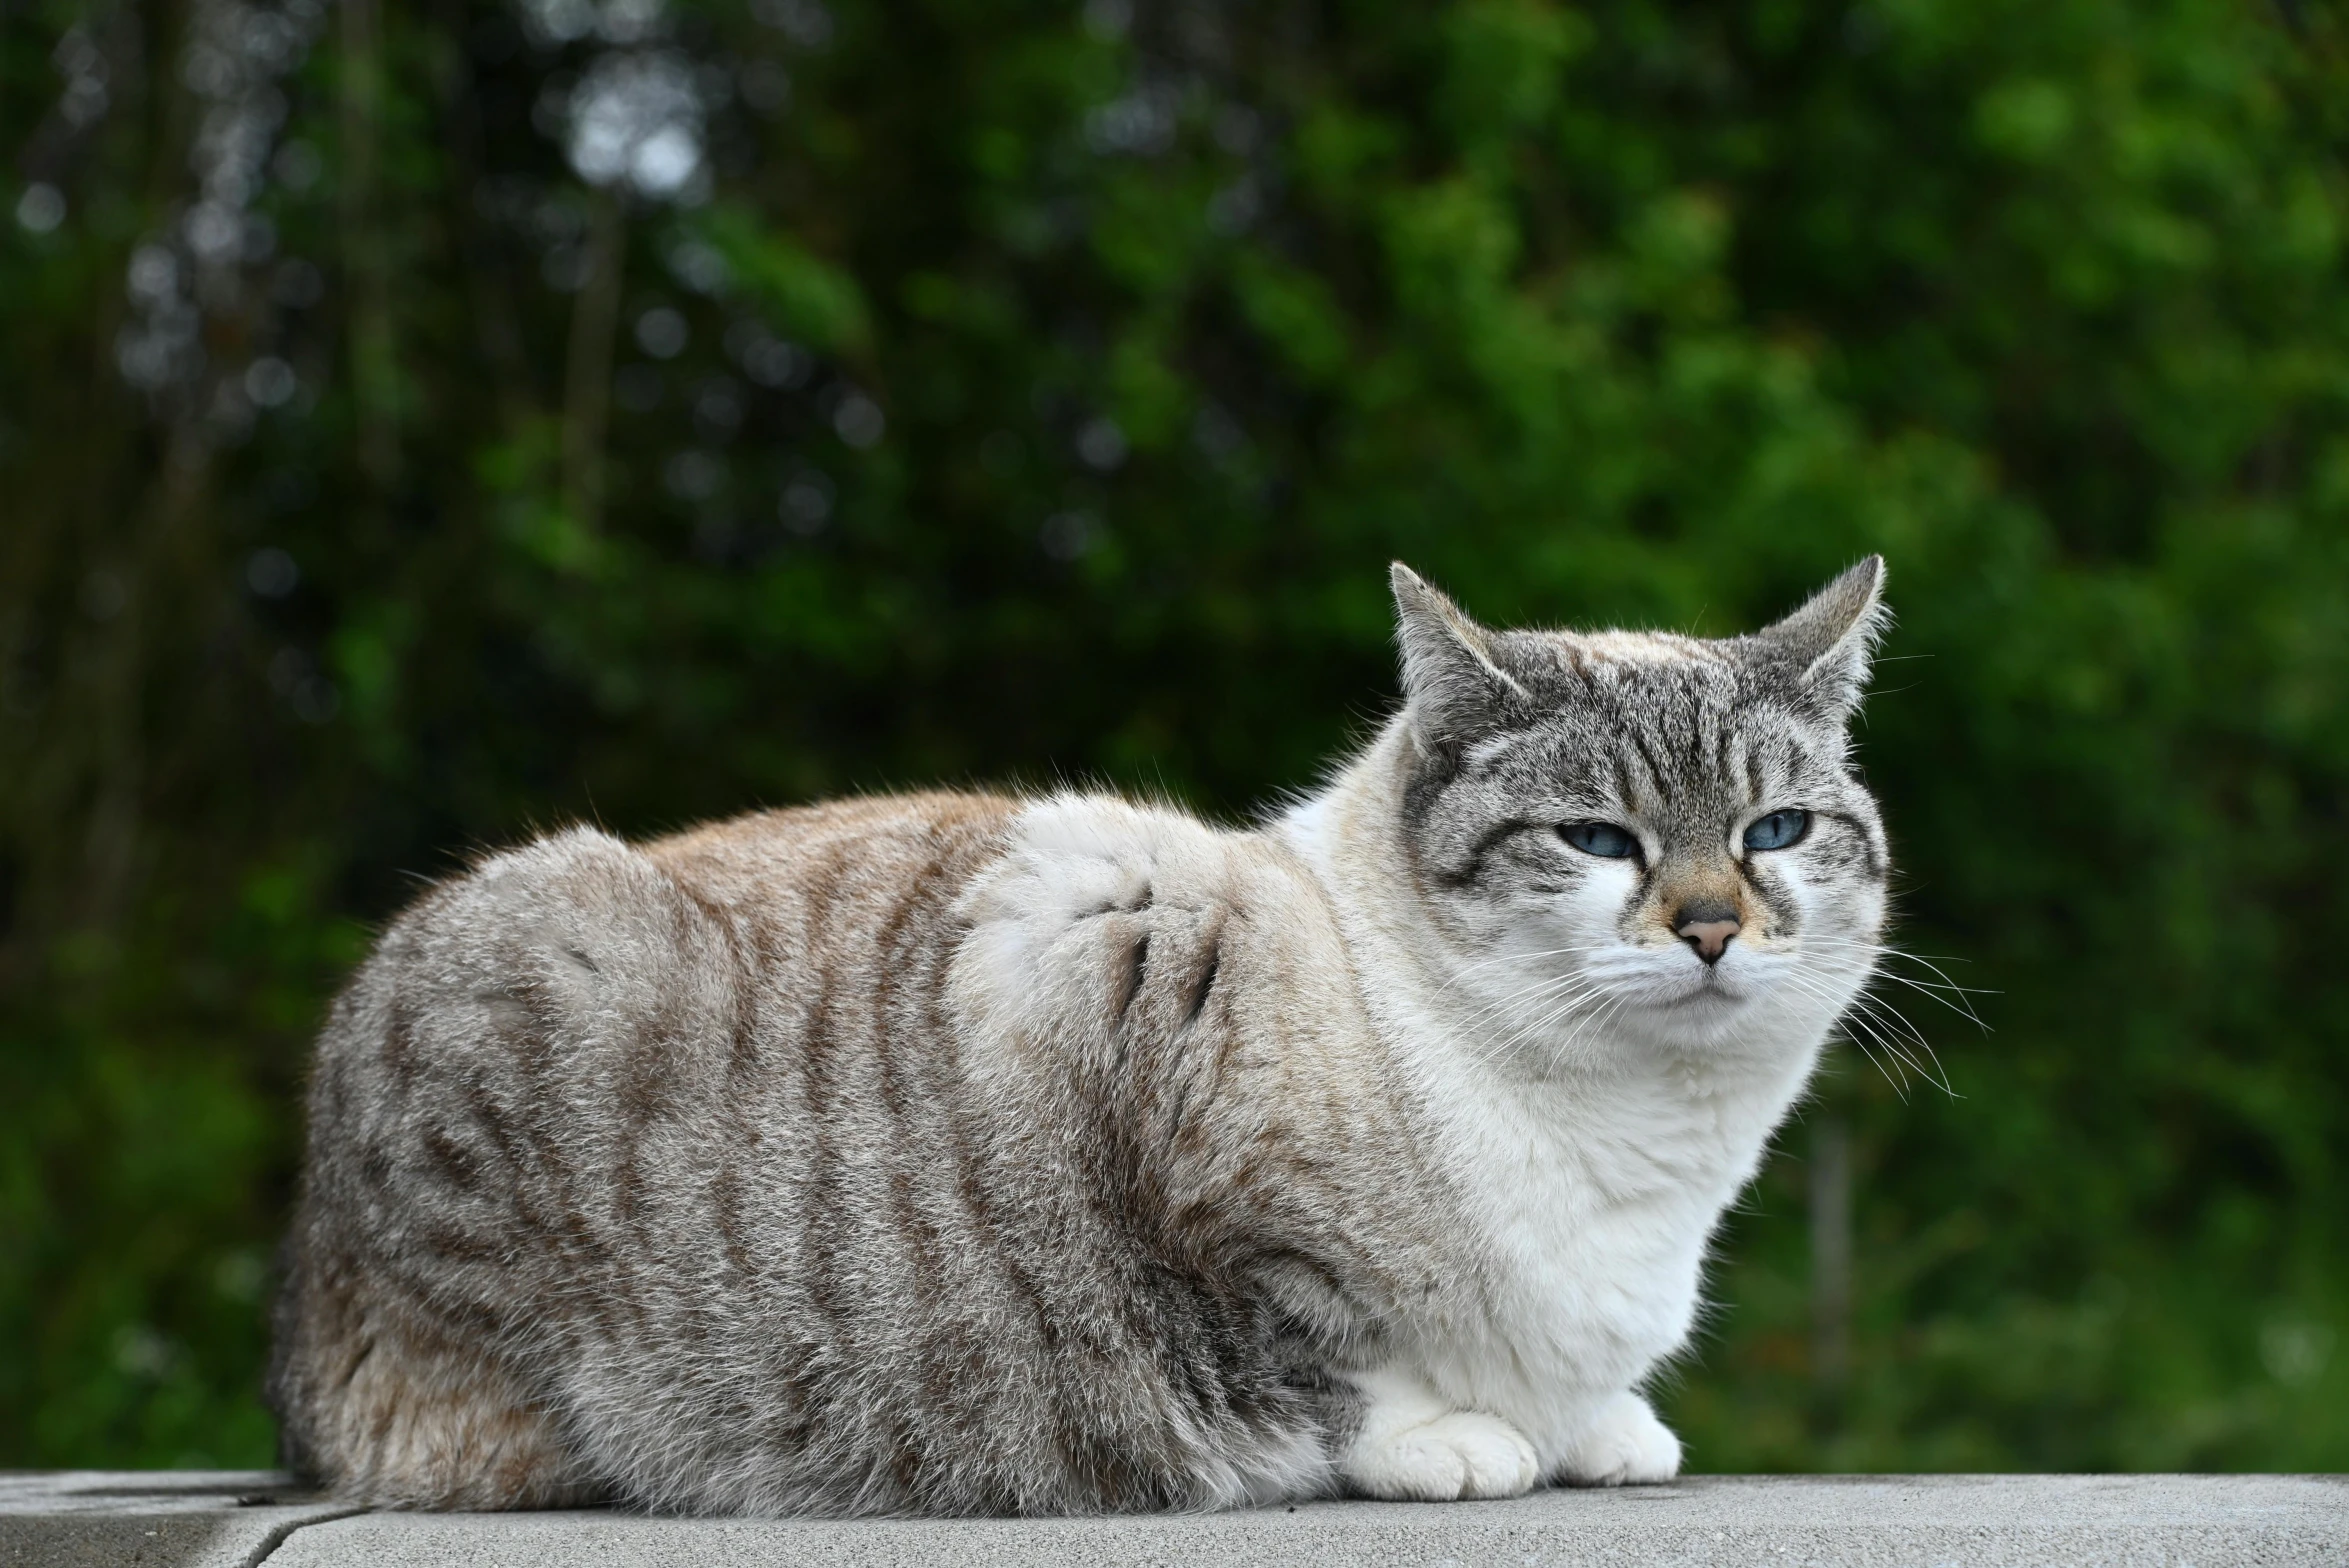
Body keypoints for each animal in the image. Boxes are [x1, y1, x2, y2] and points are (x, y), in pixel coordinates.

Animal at [270, 556, 1888, 1511]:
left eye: (1774, 831)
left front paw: (1602, 1427)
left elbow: (1582, 1392)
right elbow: (1334, 1355)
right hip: (544, 953)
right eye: (1599, 838)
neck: (1637, 1140)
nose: (1710, 927)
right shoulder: (1131, 1010)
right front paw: (1465, 1438)